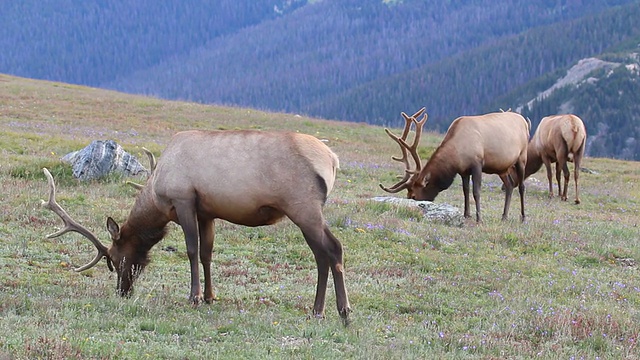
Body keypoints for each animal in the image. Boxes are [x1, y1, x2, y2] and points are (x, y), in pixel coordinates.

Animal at [42, 129, 352, 320]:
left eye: (115, 259)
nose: (122, 290)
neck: (157, 195)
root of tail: (333, 159)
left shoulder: (184, 200)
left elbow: (191, 250)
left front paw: (193, 296)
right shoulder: (207, 213)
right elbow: (206, 253)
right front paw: (210, 297)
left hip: (303, 207)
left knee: (332, 248)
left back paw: (339, 310)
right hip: (307, 210)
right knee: (325, 253)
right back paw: (323, 309)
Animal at [380, 108, 528, 224]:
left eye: (414, 196)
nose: (410, 208)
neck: (456, 154)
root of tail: (525, 122)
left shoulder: (477, 164)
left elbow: (476, 192)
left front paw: (479, 219)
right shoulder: (463, 170)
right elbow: (465, 191)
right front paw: (466, 215)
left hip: (522, 157)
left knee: (521, 186)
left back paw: (523, 217)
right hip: (502, 168)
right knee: (510, 185)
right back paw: (504, 217)